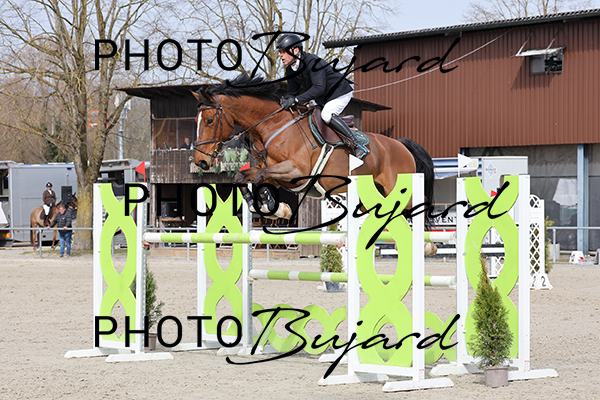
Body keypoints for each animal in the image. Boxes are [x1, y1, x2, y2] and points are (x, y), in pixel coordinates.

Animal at [192, 73, 434, 225]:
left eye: (210, 120)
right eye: (195, 120)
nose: (201, 162)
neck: (273, 125)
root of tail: (400, 144)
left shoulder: (296, 171)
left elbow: (260, 177)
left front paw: (272, 206)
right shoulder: (275, 172)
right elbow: (243, 178)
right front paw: (260, 205)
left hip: (398, 188)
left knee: (415, 205)